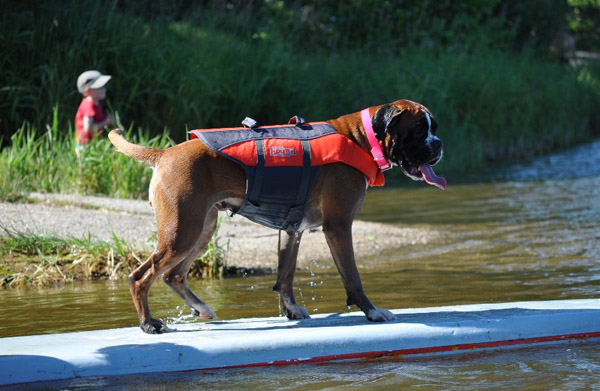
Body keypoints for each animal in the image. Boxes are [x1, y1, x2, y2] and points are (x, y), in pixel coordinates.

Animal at [109, 100, 446, 334]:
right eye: (419, 130)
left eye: (434, 128)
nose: (440, 144)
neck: (360, 138)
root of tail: (164, 154)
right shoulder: (338, 226)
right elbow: (352, 276)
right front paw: (372, 312)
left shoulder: (292, 230)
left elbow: (286, 274)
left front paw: (292, 310)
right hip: (181, 232)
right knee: (141, 277)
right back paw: (149, 324)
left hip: (200, 230)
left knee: (173, 274)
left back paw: (201, 309)